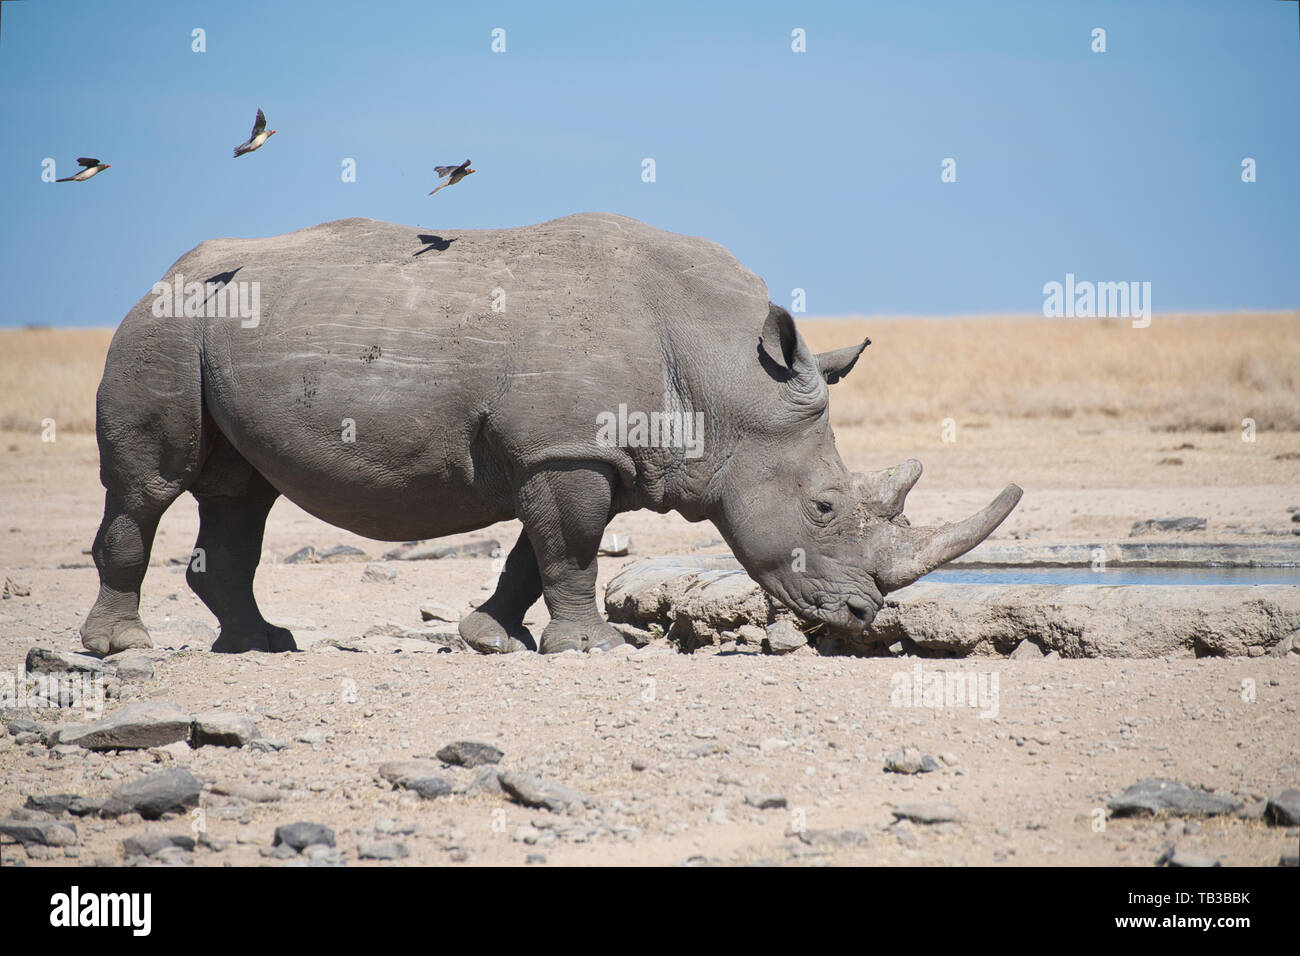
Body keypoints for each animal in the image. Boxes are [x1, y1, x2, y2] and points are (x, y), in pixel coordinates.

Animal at [80, 213, 1021, 656]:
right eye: (824, 507)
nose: (864, 615)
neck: (722, 374)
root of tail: (167, 273)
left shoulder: (581, 451)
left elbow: (535, 556)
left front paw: (489, 636)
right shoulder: (566, 449)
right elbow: (571, 549)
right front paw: (597, 647)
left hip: (214, 328)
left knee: (241, 492)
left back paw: (262, 643)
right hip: (163, 329)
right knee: (152, 487)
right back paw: (124, 647)